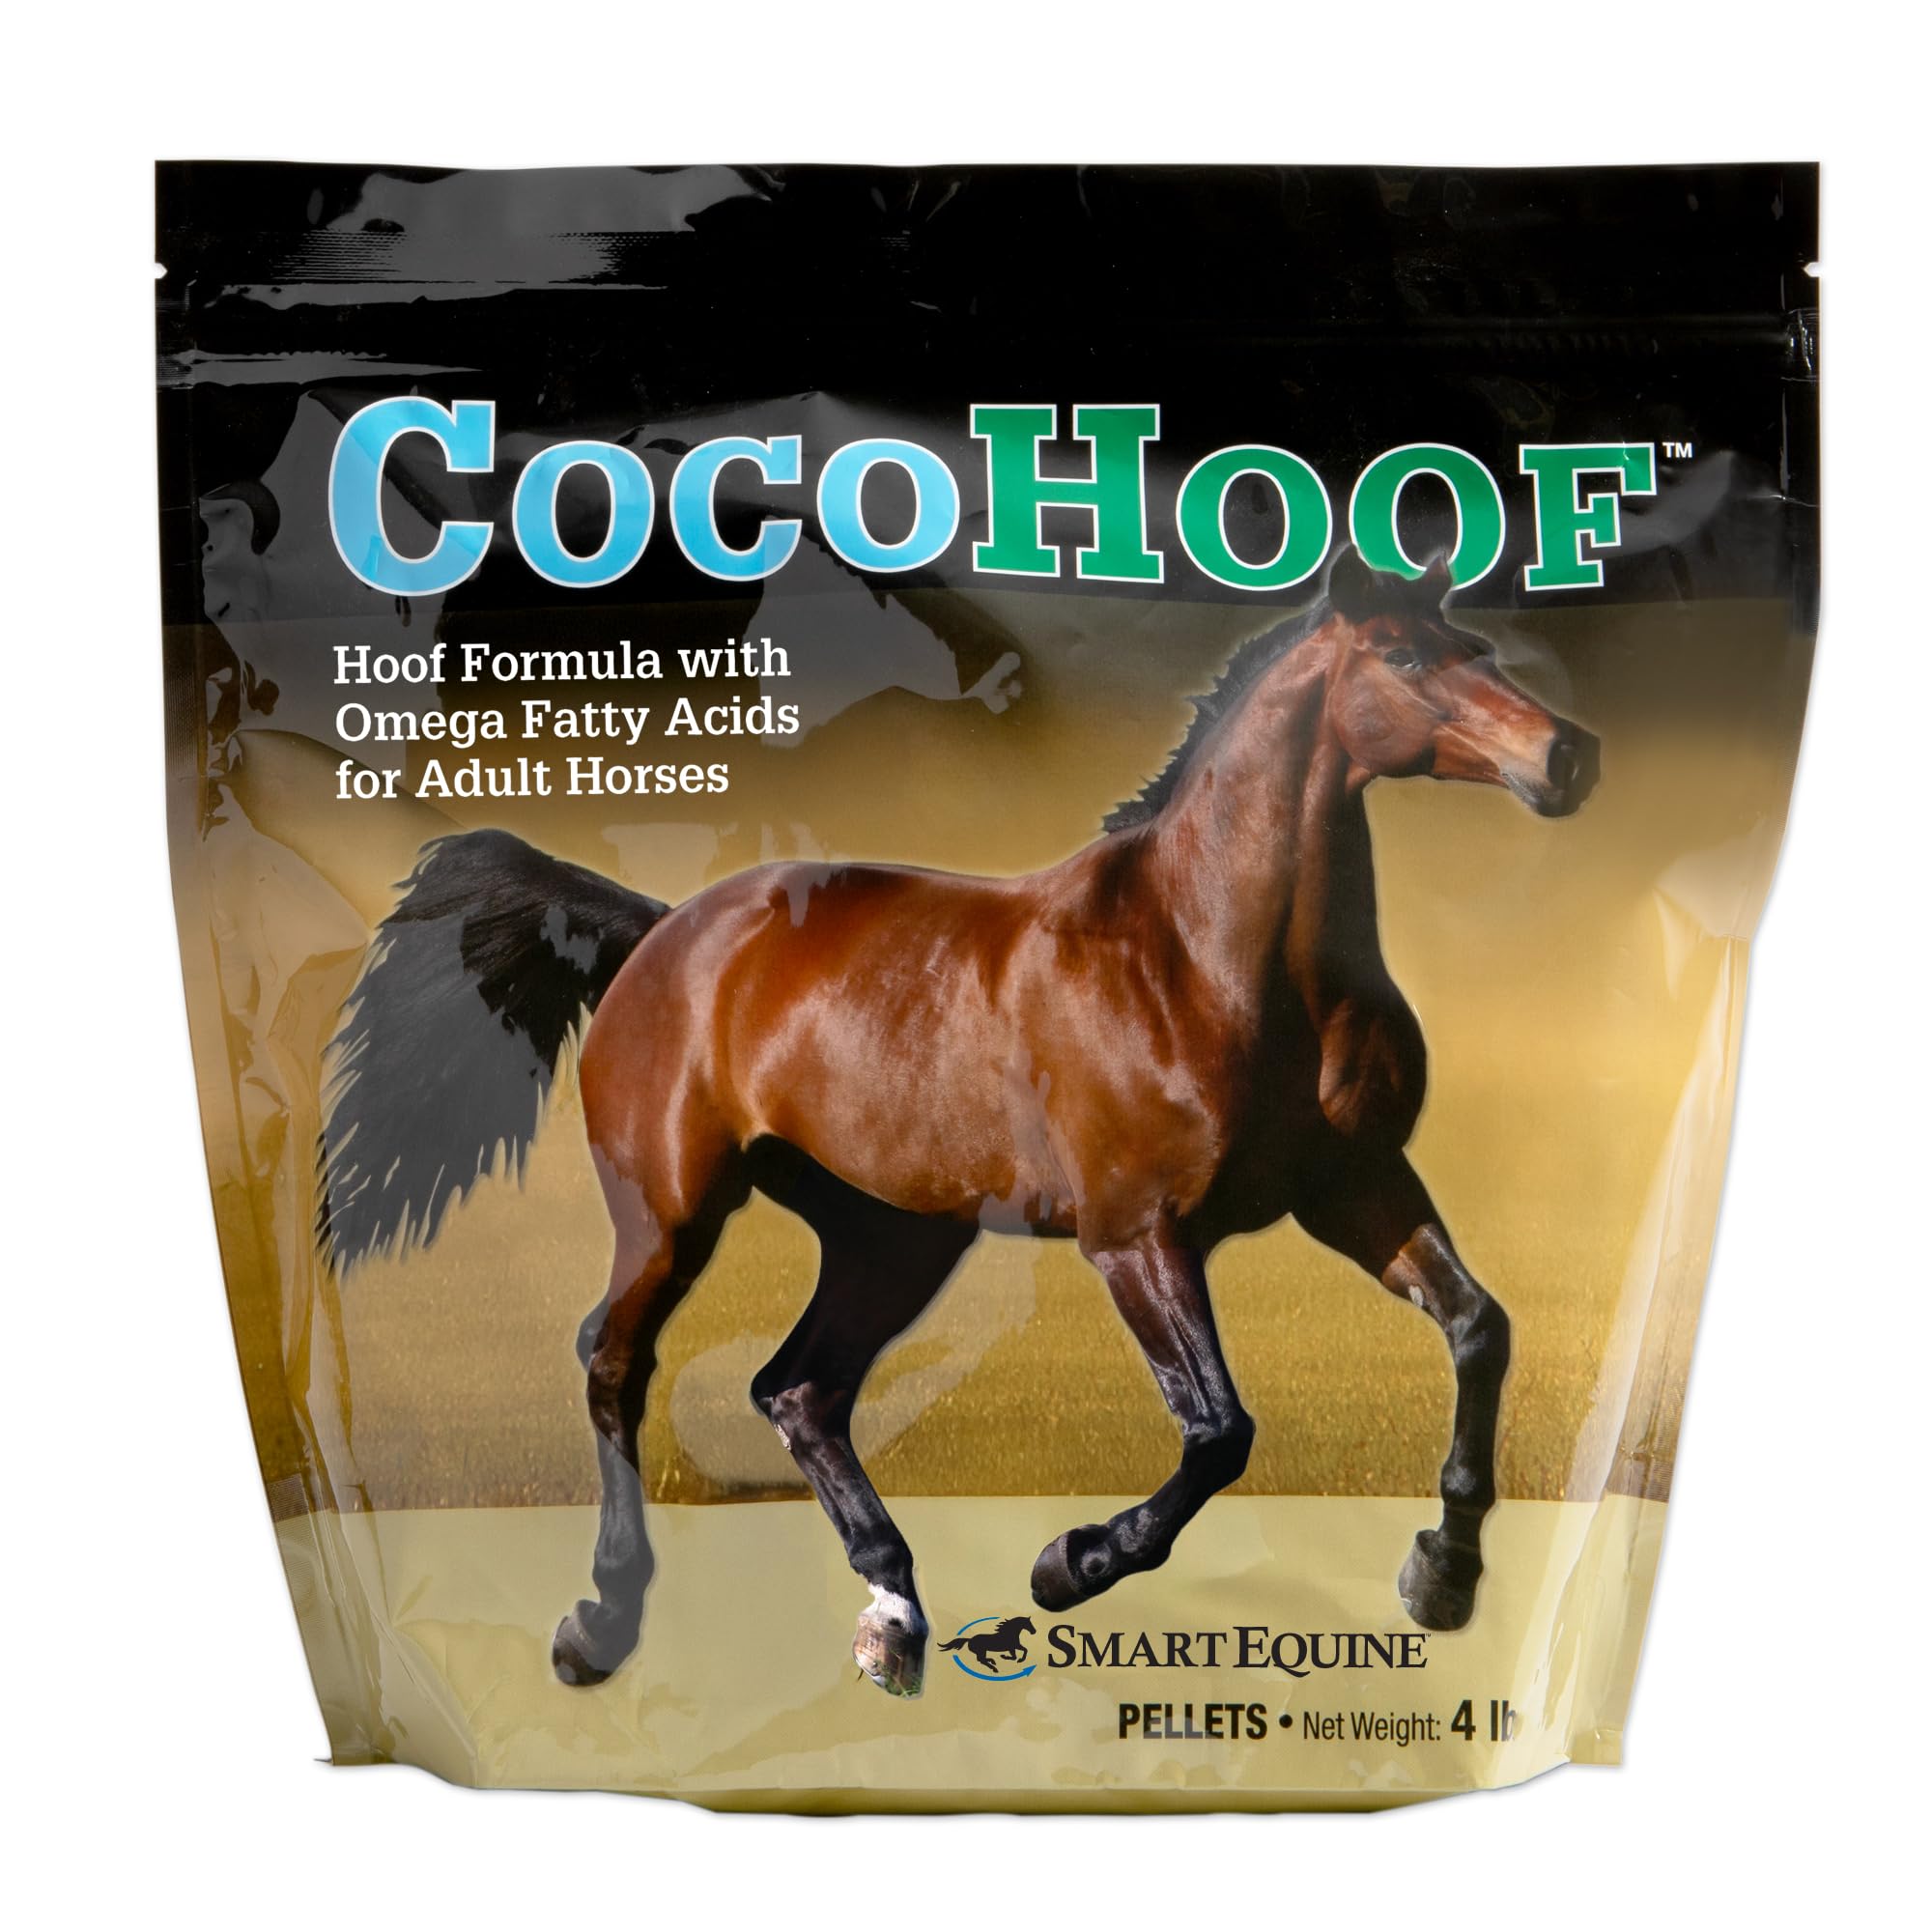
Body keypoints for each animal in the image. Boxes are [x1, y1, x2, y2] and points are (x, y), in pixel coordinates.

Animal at [318, 546, 1599, 1699]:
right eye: (1403, 655)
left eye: (1478, 646)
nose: (1565, 754)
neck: (1205, 956)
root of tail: (657, 931)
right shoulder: (1134, 1234)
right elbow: (1217, 1429)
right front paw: (1068, 1562)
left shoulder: (1355, 1185)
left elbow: (1478, 1328)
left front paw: (1441, 1571)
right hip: (674, 1213)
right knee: (615, 1360)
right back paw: (600, 1620)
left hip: (892, 1232)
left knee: (799, 1389)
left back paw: (891, 1611)